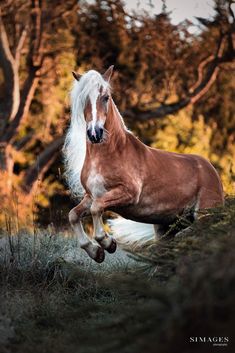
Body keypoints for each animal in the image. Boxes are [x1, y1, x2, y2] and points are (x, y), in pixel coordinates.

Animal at [63, 67, 225, 262]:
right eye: (84, 99)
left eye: (106, 97)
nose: (95, 133)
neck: (111, 154)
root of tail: (212, 172)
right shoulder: (91, 196)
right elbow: (73, 215)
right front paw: (96, 252)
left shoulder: (127, 194)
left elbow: (97, 209)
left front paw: (108, 244)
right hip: (166, 229)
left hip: (204, 218)